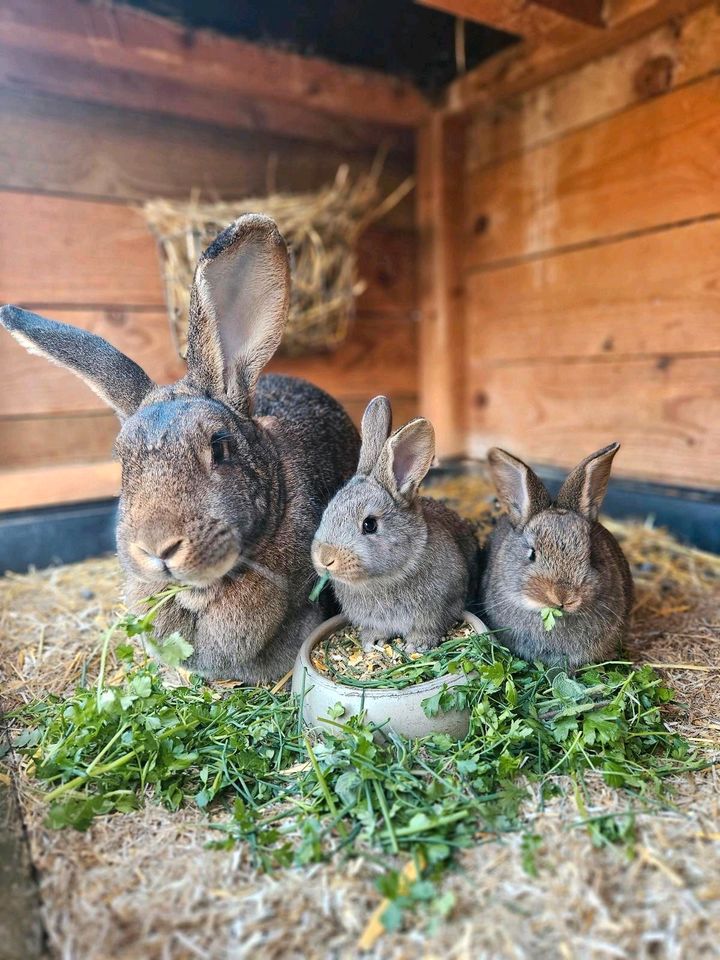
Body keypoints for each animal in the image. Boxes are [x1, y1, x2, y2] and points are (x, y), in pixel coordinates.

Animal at [312, 396, 480, 652]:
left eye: (369, 525)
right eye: (328, 510)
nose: (325, 558)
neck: (387, 577)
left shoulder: (438, 610)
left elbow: (428, 628)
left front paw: (416, 646)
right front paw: (372, 642)